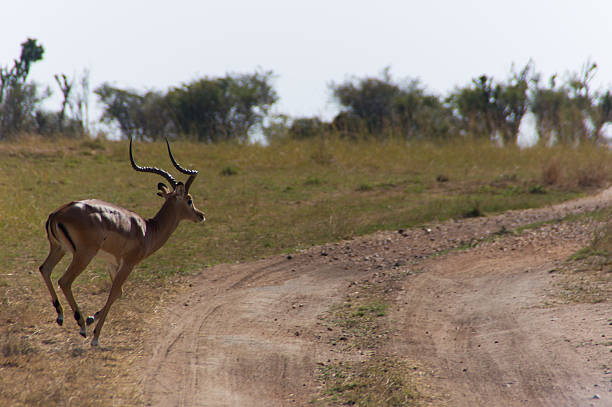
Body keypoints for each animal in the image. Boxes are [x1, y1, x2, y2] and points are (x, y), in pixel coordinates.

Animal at [39, 138, 206, 348]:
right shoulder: (128, 263)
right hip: (83, 254)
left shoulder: (113, 263)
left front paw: (92, 319)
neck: (148, 230)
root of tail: (56, 214)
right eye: (189, 200)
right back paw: (81, 326)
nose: (201, 215)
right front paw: (95, 336)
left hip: (59, 248)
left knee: (45, 269)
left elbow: (118, 292)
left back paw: (61, 316)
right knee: (64, 280)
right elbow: (114, 292)